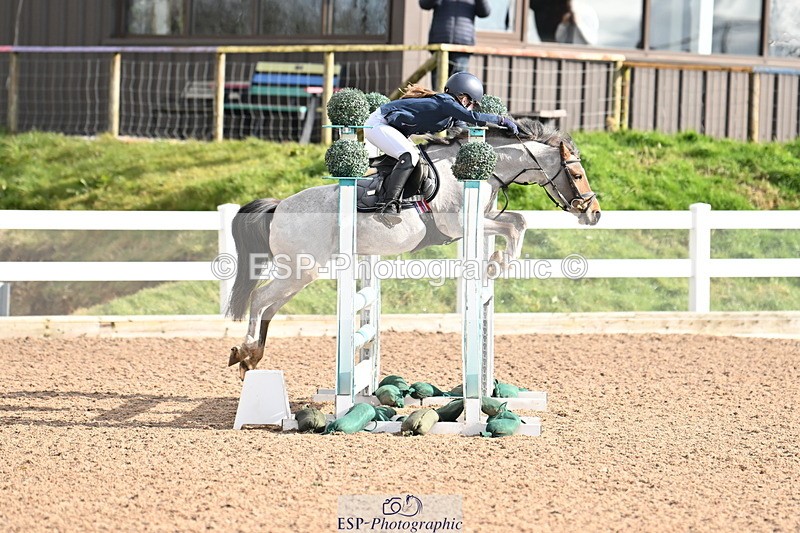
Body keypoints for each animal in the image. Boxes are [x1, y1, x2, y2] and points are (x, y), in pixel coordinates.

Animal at [226, 118, 601, 379]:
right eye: (577, 175)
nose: (594, 213)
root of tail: (279, 207)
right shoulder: (460, 225)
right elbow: (516, 225)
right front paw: (497, 263)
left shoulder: (482, 217)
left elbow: (517, 220)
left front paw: (495, 262)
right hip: (300, 268)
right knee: (259, 299)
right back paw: (244, 351)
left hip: (303, 273)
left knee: (270, 307)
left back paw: (252, 358)